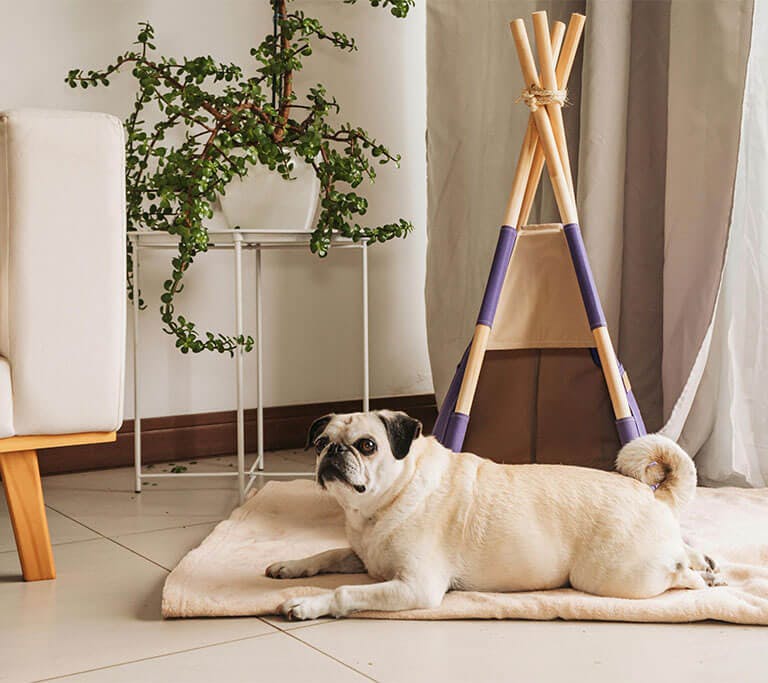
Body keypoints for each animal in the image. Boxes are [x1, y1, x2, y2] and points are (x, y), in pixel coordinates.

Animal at [264, 408, 720, 624]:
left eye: (367, 445)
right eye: (321, 442)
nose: (333, 452)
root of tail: (652, 495)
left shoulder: (415, 588)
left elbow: (345, 593)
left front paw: (308, 603)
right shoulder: (362, 555)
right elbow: (327, 554)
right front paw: (292, 566)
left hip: (611, 576)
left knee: (676, 575)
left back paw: (702, 579)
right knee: (685, 550)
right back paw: (707, 564)